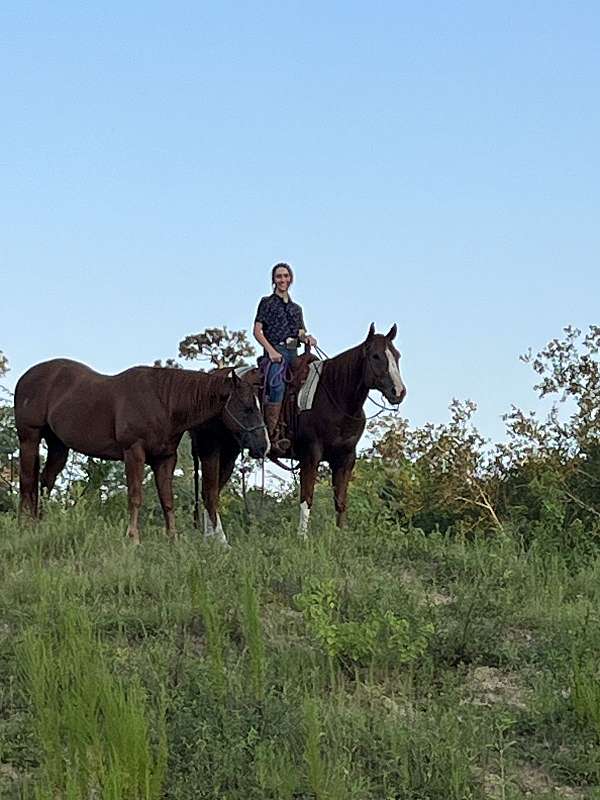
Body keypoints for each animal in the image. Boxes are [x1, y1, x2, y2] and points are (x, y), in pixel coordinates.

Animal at [14, 358, 269, 543]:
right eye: (247, 408)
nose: (263, 446)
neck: (163, 401)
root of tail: (26, 377)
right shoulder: (134, 452)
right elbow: (135, 497)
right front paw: (133, 538)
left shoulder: (165, 459)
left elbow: (167, 500)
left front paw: (173, 539)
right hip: (29, 438)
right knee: (27, 483)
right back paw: (25, 526)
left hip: (58, 446)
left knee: (45, 481)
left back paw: (42, 524)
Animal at [191, 324, 406, 541]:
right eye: (376, 356)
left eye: (397, 355)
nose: (398, 392)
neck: (335, 395)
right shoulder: (311, 454)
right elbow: (307, 497)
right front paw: (302, 538)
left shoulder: (346, 458)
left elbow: (340, 500)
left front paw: (342, 536)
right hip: (212, 449)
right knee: (210, 493)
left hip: (229, 453)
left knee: (211, 493)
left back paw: (209, 538)